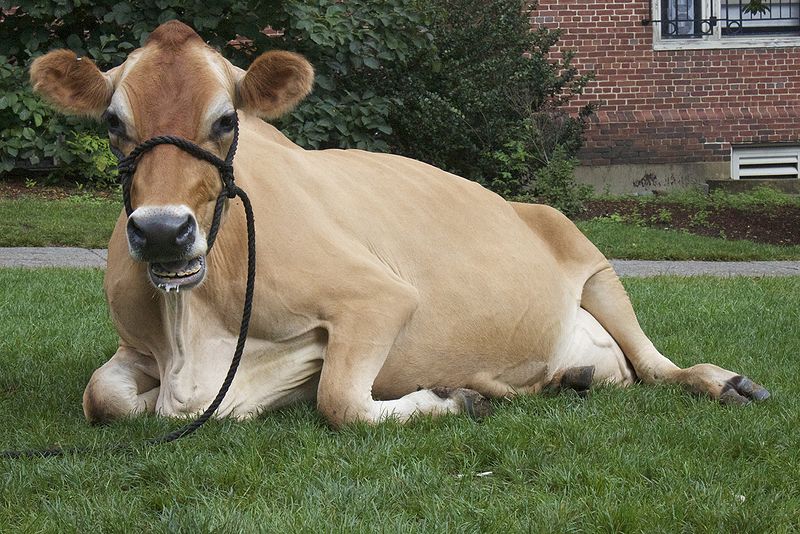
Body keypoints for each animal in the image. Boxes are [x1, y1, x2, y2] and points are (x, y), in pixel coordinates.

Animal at [30, 21, 768, 428]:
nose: (161, 232)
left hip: (596, 265)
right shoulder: (137, 345)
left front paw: (451, 401)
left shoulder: (377, 297)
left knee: (656, 365)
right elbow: (103, 396)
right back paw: (567, 378)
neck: (193, 325)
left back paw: (722, 382)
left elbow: (338, 402)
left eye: (227, 119)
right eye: (112, 122)